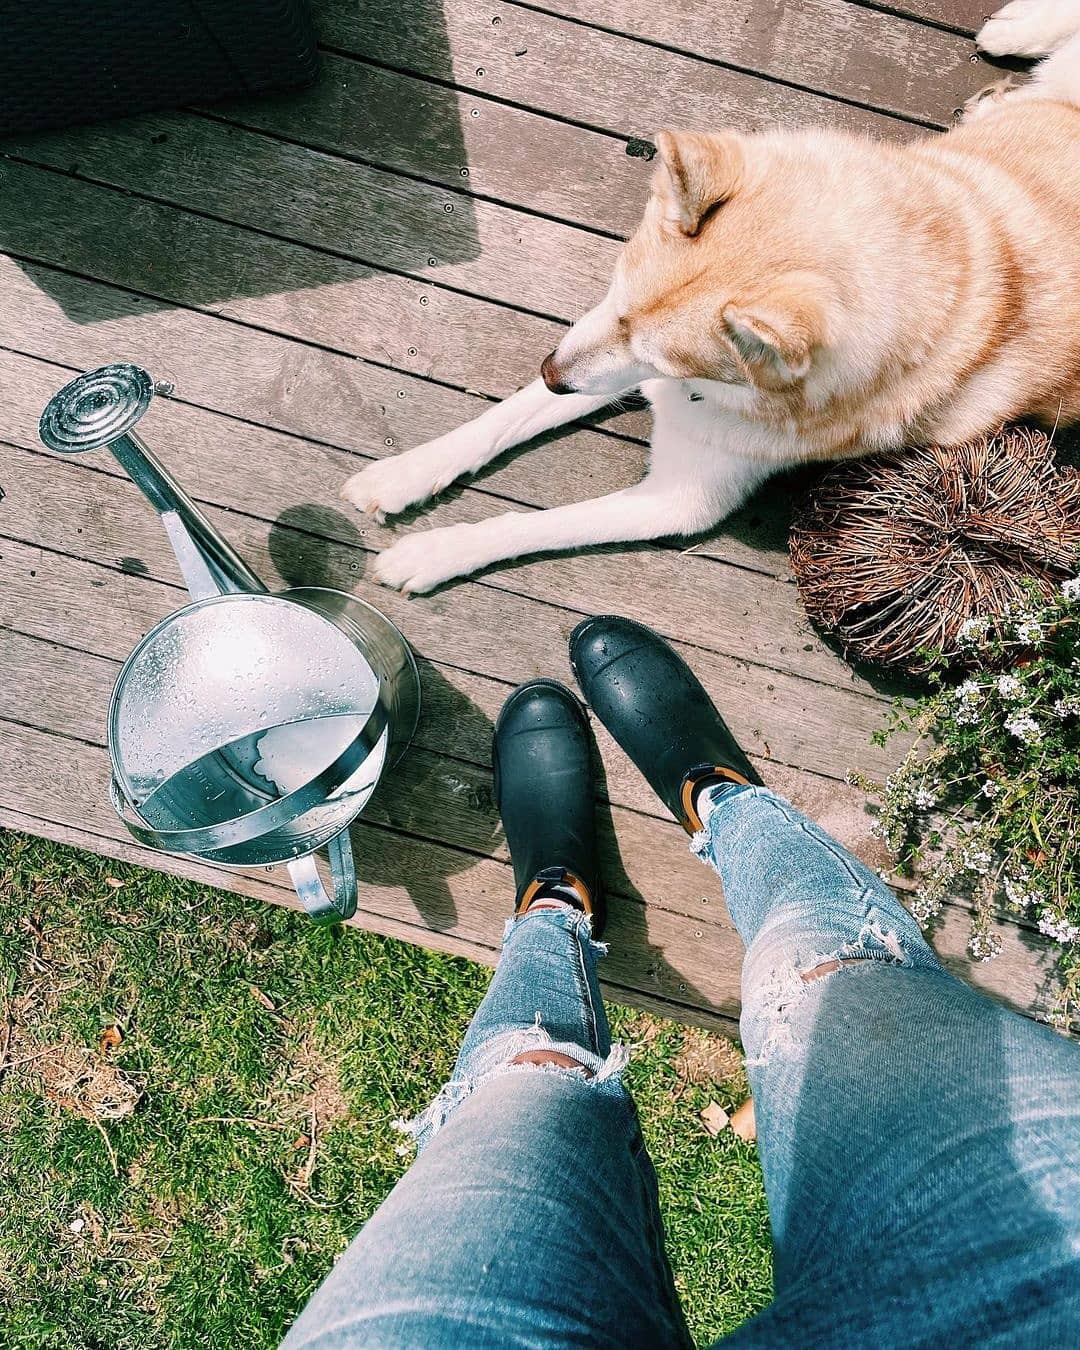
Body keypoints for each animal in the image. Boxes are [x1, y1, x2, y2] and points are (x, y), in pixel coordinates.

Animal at [341, 0, 1080, 594]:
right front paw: (404, 474)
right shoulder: (596, 351)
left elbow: (534, 525)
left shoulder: (676, 498)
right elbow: (498, 420)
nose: (551, 375)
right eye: (613, 291)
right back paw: (1011, 44)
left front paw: (434, 553)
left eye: (669, 360)